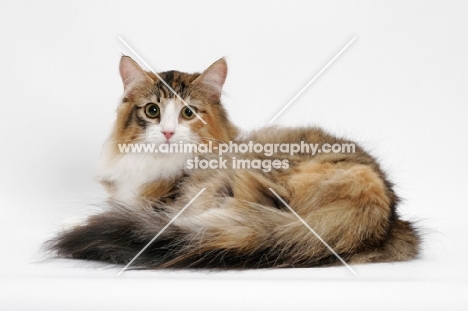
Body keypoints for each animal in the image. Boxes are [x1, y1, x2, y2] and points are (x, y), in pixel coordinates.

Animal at [48, 56, 420, 270]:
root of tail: (380, 212)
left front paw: (71, 222)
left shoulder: (162, 198)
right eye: (152, 110)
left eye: (188, 113)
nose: (167, 132)